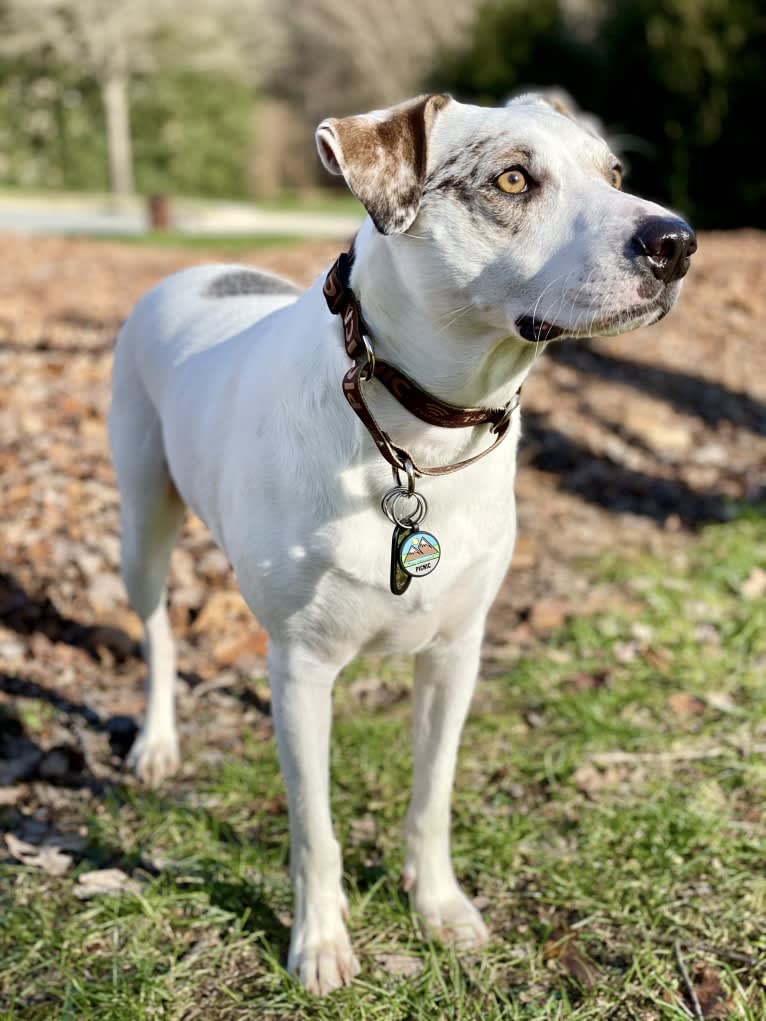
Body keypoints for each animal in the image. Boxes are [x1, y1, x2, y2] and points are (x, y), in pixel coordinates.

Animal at [110, 93, 698, 988]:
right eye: (513, 179)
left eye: (614, 172)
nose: (676, 242)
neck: (417, 433)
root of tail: (190, 271)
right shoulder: (303, 665)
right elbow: (315, 829)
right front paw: (320, 941)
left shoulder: (456, 652)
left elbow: (433, 794)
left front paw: (439, 905)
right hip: (142, 521)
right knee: (156, 630)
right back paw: (158, 741)